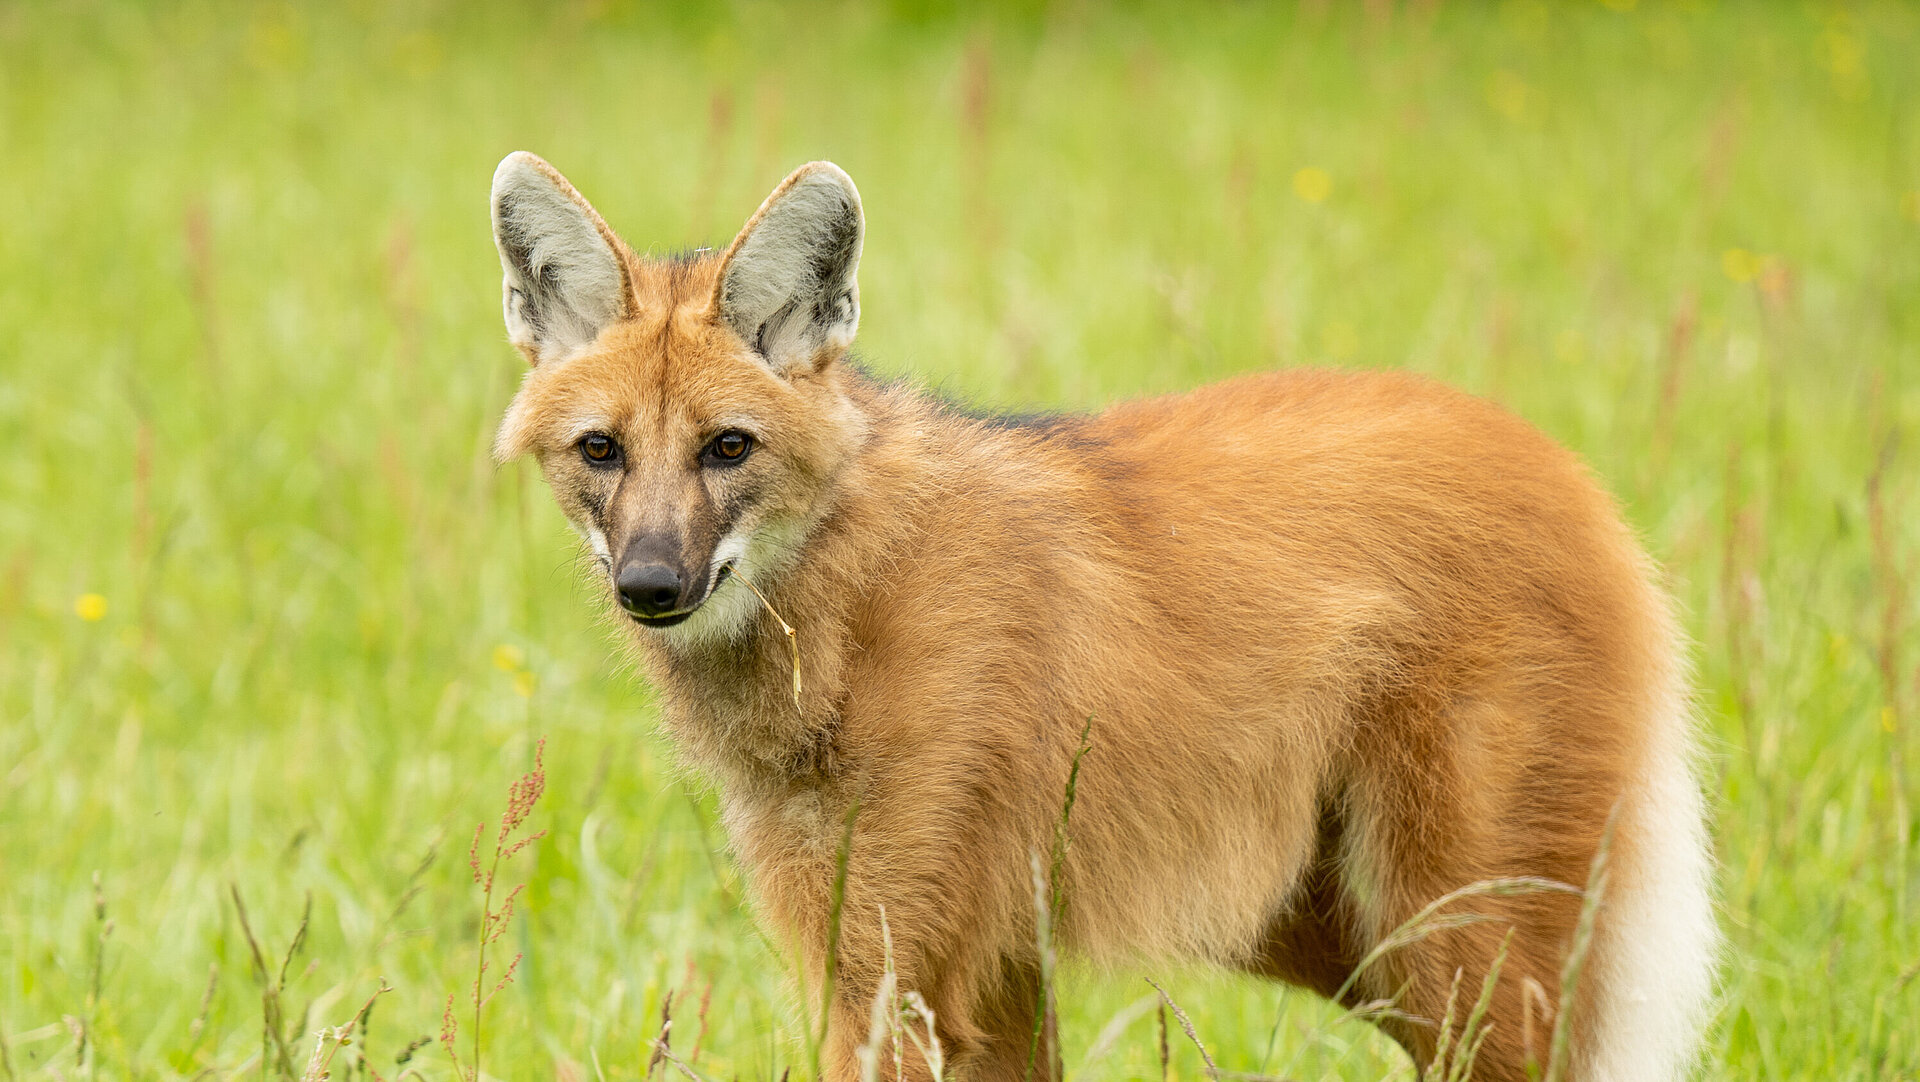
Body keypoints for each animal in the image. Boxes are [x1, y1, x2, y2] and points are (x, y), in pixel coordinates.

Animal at [487, 152, 1717, 1081]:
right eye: (602, 450)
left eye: (727, 447)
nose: (651, 585)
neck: (842, 598)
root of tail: (1567, 471)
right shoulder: (986, 962)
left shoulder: (898, 971)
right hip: (1341, 927)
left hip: (1454, 925)